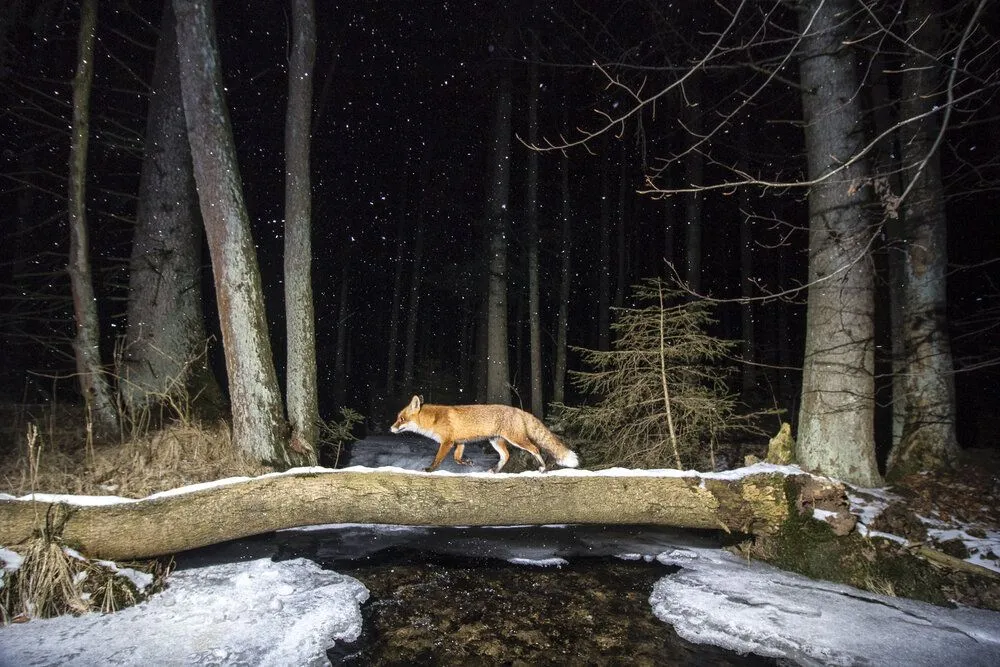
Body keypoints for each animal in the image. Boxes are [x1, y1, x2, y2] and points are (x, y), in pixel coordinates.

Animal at [388, 396, 580, 474]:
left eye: (401, 419)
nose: (391, 428)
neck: (433, 420)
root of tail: (519, 410)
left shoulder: (447, 442)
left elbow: (438, 459)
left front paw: (429, 469)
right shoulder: (460, 442)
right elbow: (457, 458)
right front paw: (467, 463)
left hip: (516, 439)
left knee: (535, 449)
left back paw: (543, 468)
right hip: (496, 441)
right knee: (506, 455)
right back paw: (494, 470)